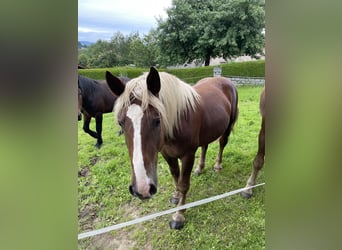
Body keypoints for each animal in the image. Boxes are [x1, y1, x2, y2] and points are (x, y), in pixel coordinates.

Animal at [105, 67, 238, 229]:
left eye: (157, 120)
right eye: (121, 123)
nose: (142, 189)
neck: (179, 120)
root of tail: (225, 80)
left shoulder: (188, 155)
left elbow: (184, 184)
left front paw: (179, 215)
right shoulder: (166, 153)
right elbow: (175, 176)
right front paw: (176, 196)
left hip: (227, 127)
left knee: (222, 143)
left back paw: (218, 165)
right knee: (205, 146)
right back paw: (200, 168)